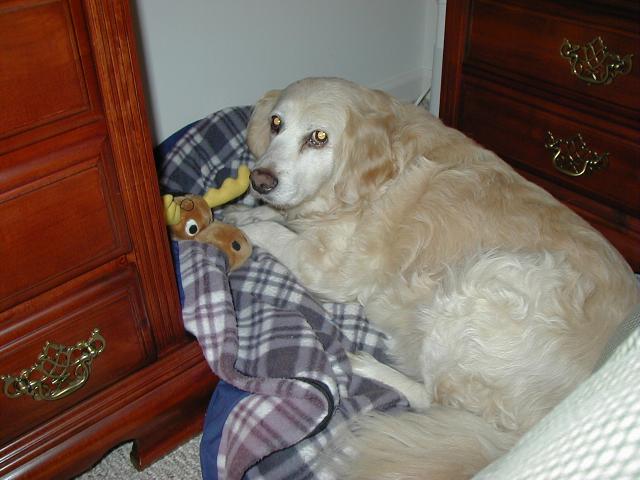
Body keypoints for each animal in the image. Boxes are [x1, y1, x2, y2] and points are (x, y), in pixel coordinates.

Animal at [225, 77, 639, 479]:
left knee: (430, 396)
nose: (260, 180)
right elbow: (274, 216)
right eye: (276, 123)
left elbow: (271, 231)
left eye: (319, 137)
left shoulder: (331, 271)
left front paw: (237, 231)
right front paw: (239, 211)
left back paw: (367, 364)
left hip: (484, 283)